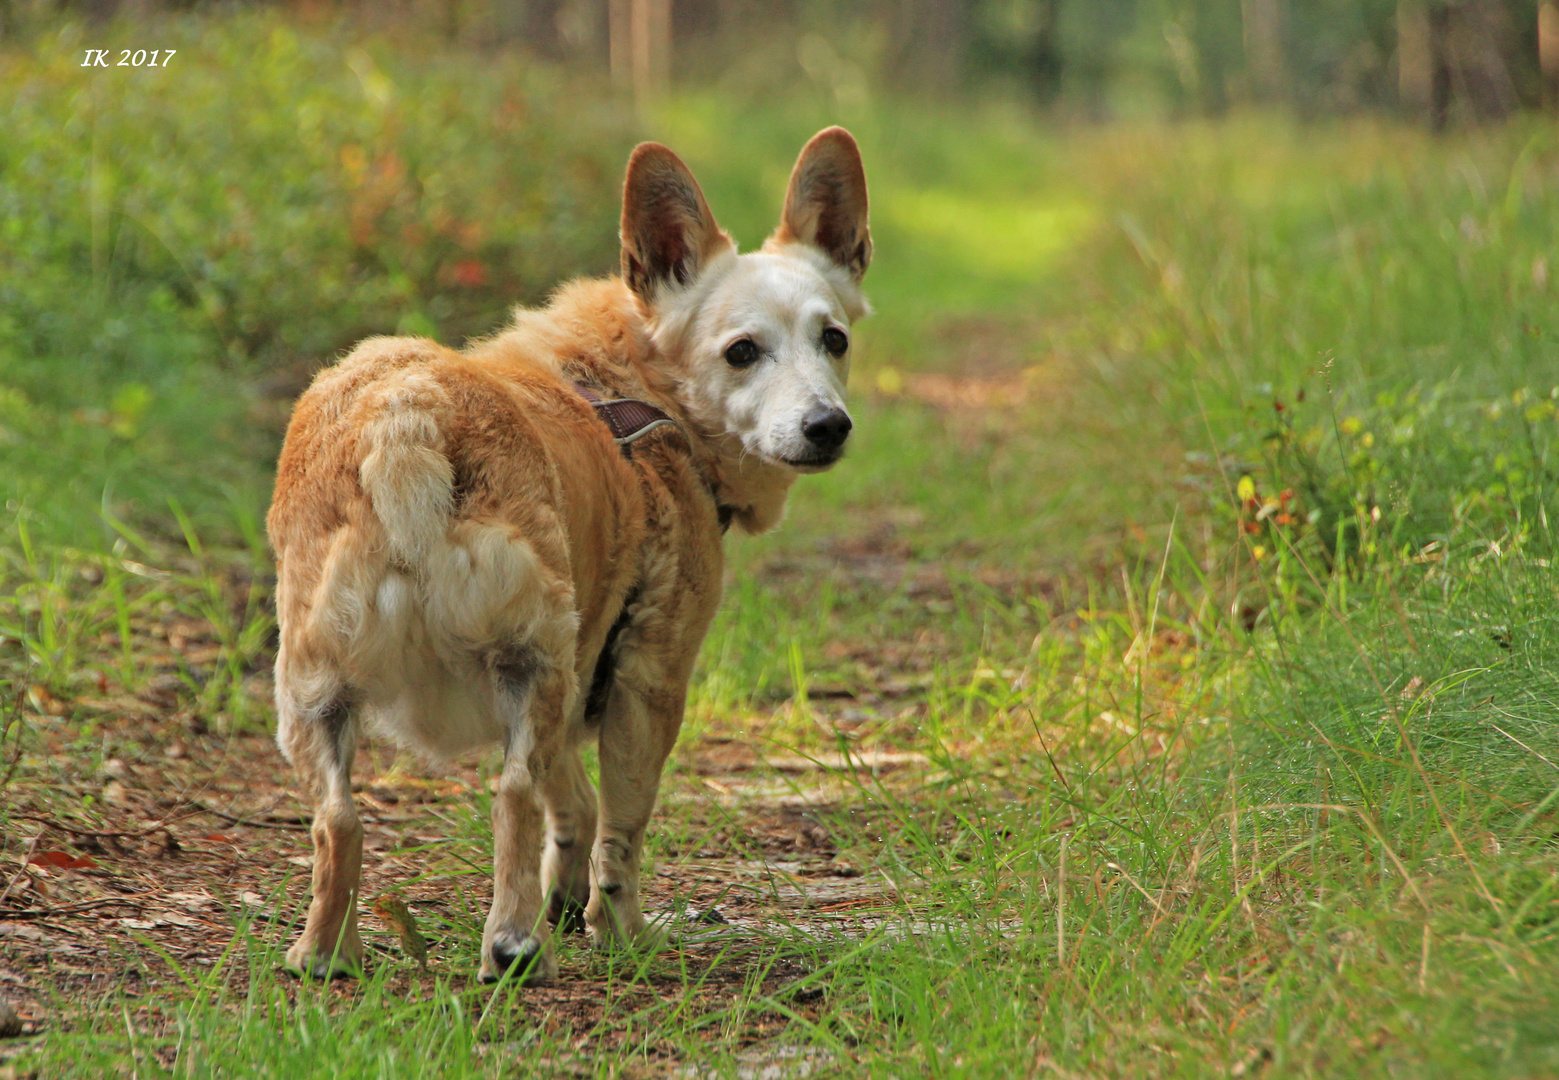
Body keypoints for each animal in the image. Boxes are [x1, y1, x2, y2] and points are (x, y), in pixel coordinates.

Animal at [272, 128, 873, 984]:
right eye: (741, 352)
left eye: (834, 340)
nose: (827, 426)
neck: (641, 386)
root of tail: (407, 414)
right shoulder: (649, 676)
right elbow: (621, 822)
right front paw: (618, 928)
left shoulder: (583, 654)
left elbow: (575, 802)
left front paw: (567, 892)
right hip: (533, 661)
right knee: (513, 796)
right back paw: (513, 944)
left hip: (317, 690)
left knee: (339, 821)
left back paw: (327, 953)